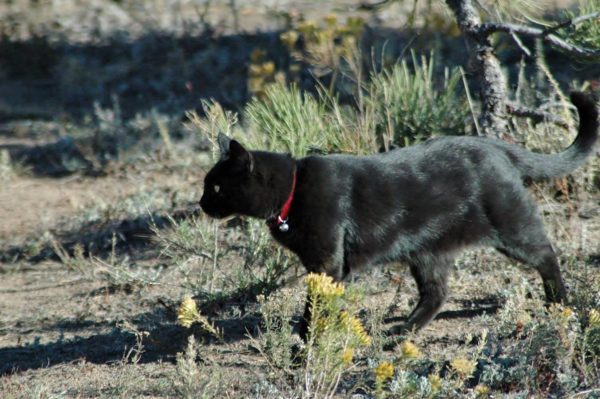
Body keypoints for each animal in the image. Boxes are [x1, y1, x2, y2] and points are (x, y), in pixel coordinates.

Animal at [200, 93, 596, 340]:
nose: (201, 203)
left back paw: (559, 303)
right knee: (438, 292)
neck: (294, 191)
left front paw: (307, 341)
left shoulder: (327, 263)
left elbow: (315, 306)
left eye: (216, 187)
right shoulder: (323, 266)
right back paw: (405, 329)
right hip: (429, 252)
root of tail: (494, 144)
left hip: (510, 225)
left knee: (547, 254)